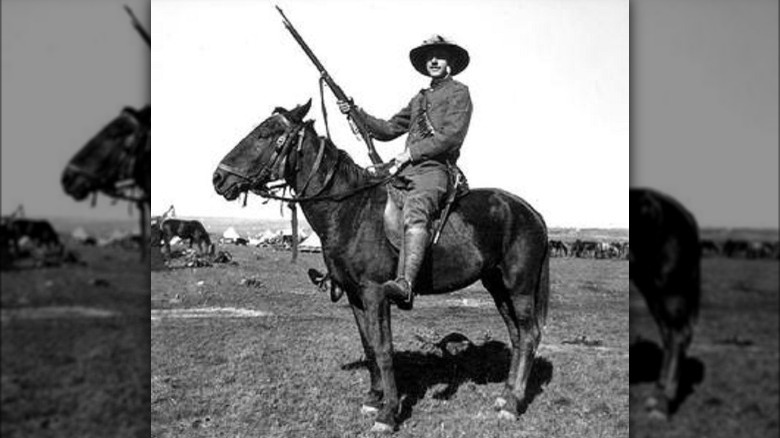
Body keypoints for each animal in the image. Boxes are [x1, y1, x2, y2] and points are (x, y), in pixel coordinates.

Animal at [213, 101, 548, 432]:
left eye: (266, 133)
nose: (218, 178)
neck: (349, 210)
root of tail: (531, 211)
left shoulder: (376, 294)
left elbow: (385, 349)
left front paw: (388, 412)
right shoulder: (355, 295)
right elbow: (369, 345)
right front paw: (373, 399)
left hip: (519, 287)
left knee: (530, 334)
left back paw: (514, 404)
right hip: (497, 286)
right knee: (516, 335)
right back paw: (505, 395)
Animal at [628, 188, 700, 418]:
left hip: (669, 287)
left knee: (678, 334)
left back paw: (663, 403)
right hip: (651, 287)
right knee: (668, 333)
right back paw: (657, 393)